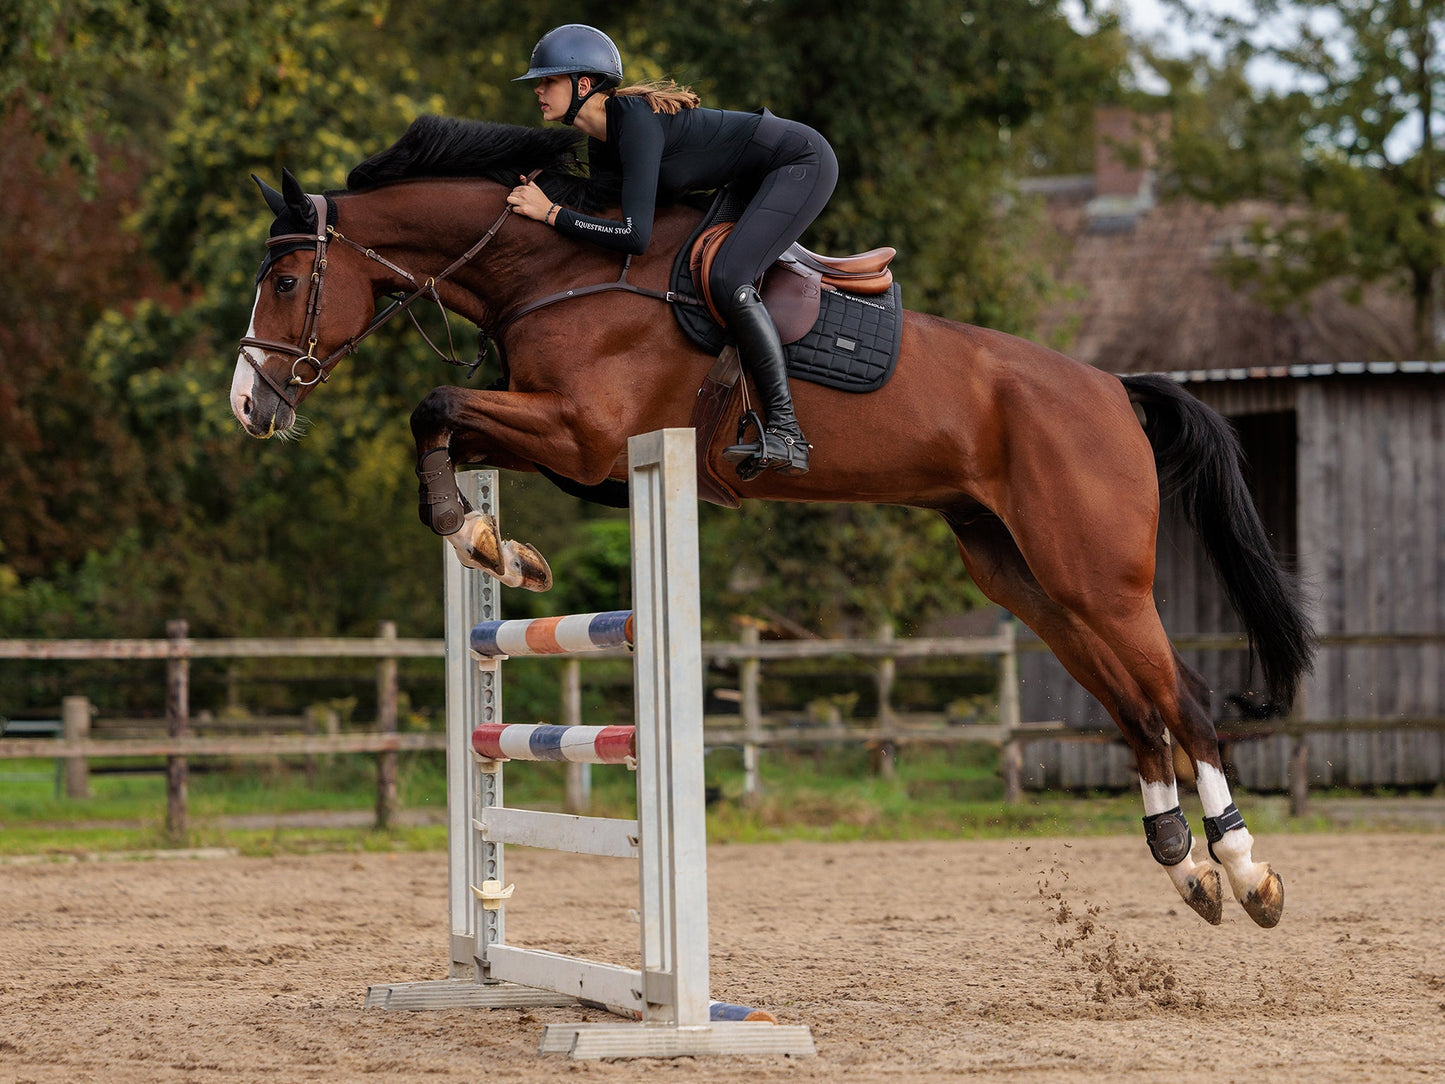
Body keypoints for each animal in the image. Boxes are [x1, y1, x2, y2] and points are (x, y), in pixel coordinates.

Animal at [230, 116, 1313, 929]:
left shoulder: (584, 435)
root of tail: (1111, 390)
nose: (249, 406)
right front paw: (494, 542)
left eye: (284, 282)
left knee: (1185, 704)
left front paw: (481, 538)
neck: (553, 268)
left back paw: (1247, 873)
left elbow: (434, 406)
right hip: (1028, 582)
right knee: (1135, 709)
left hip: (1097, 577)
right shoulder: (572, 448)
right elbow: (444, 422)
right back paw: (1186, 869)